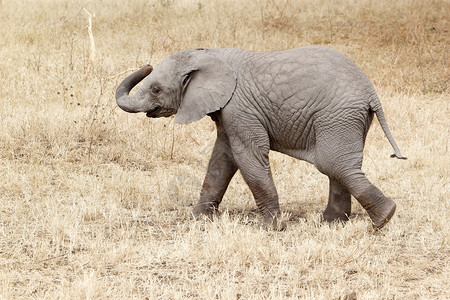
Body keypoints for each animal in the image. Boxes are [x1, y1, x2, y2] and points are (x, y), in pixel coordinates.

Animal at [115, 46, 404, 230]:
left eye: (156, 89)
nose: (147, 65)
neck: (210, 54)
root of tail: (370, 91)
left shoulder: (239, 108)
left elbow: (248, 156)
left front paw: (270, 228)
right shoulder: (228, 111)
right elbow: (221, 160)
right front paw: (197, 218)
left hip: (338, 116)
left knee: (333, 164)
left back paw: (384, 218)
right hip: (345, 119)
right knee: (338, 166)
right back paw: (332, 223)